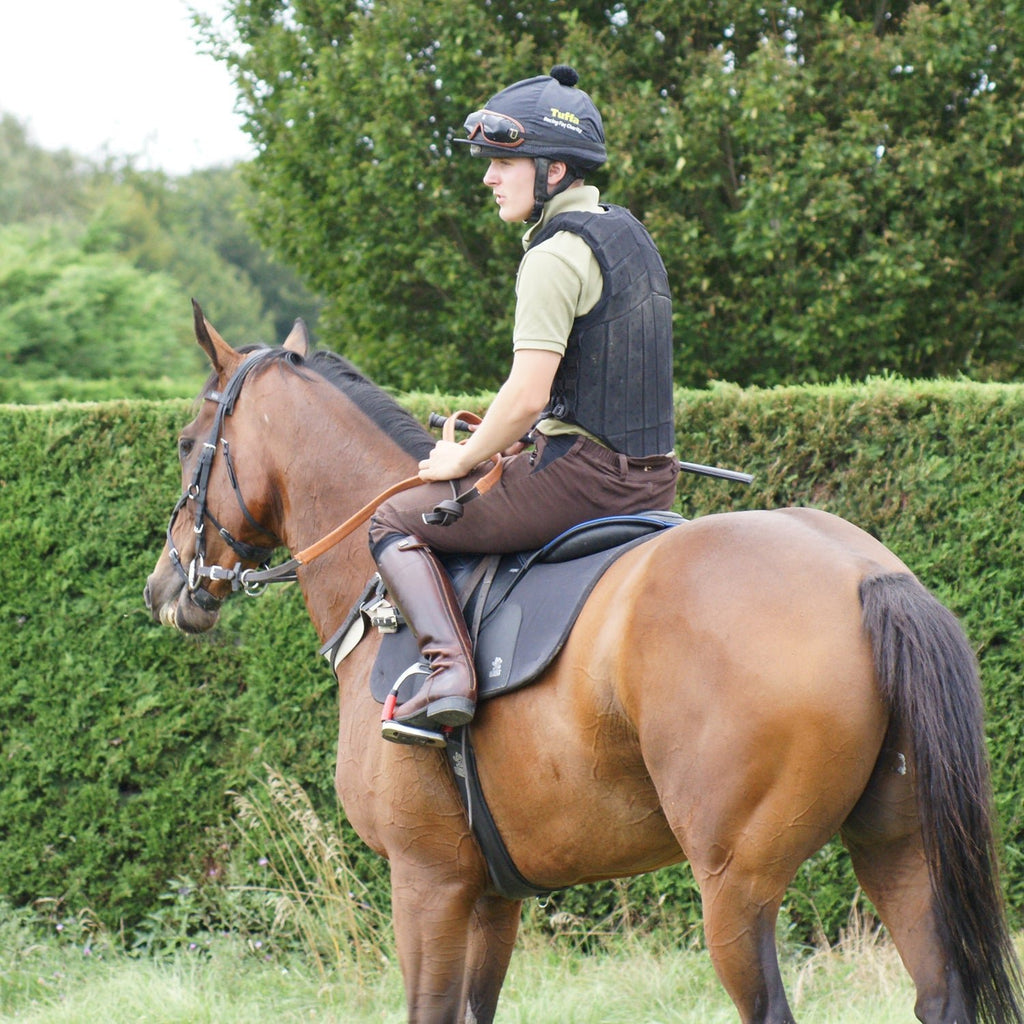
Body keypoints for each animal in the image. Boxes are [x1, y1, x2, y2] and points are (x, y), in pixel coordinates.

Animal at [144, 305, 1024, 1024]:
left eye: (187, 445)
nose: (165, 587)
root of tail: (863, 572)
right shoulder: (488, 896)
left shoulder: (426, 883)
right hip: (899, 851)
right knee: (938, 995)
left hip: (734, 887)